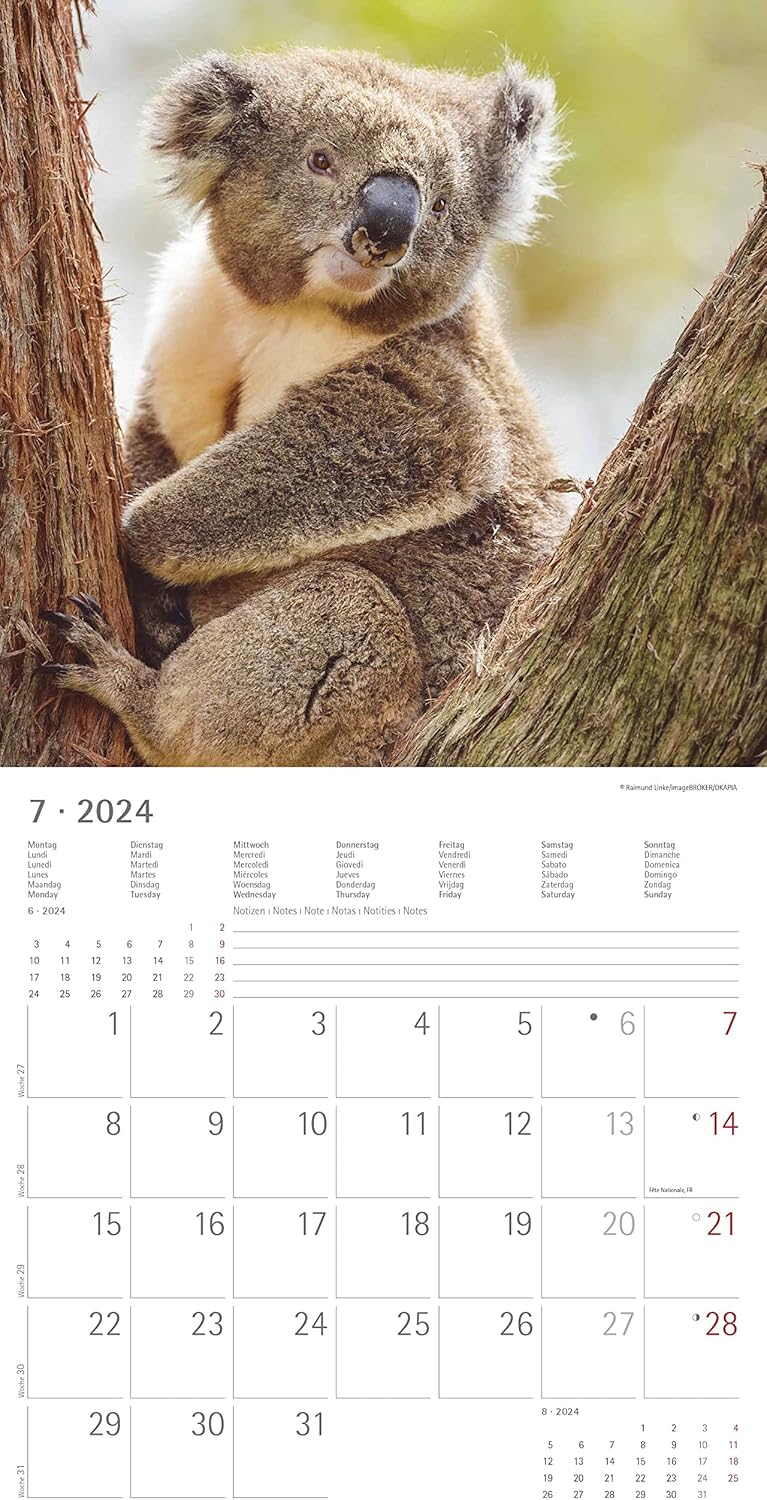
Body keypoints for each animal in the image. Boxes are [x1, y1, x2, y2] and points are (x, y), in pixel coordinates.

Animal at [42, 46, 569, 766]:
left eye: (439, 206)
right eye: (320, 161)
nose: (385, 231)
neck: (297, 310)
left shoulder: (435, 390)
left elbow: (416, 445)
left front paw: (138, 541)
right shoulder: (192, 321)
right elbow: (162, 436)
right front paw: (158, 604)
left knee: (344, 609)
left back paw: (126, 685)